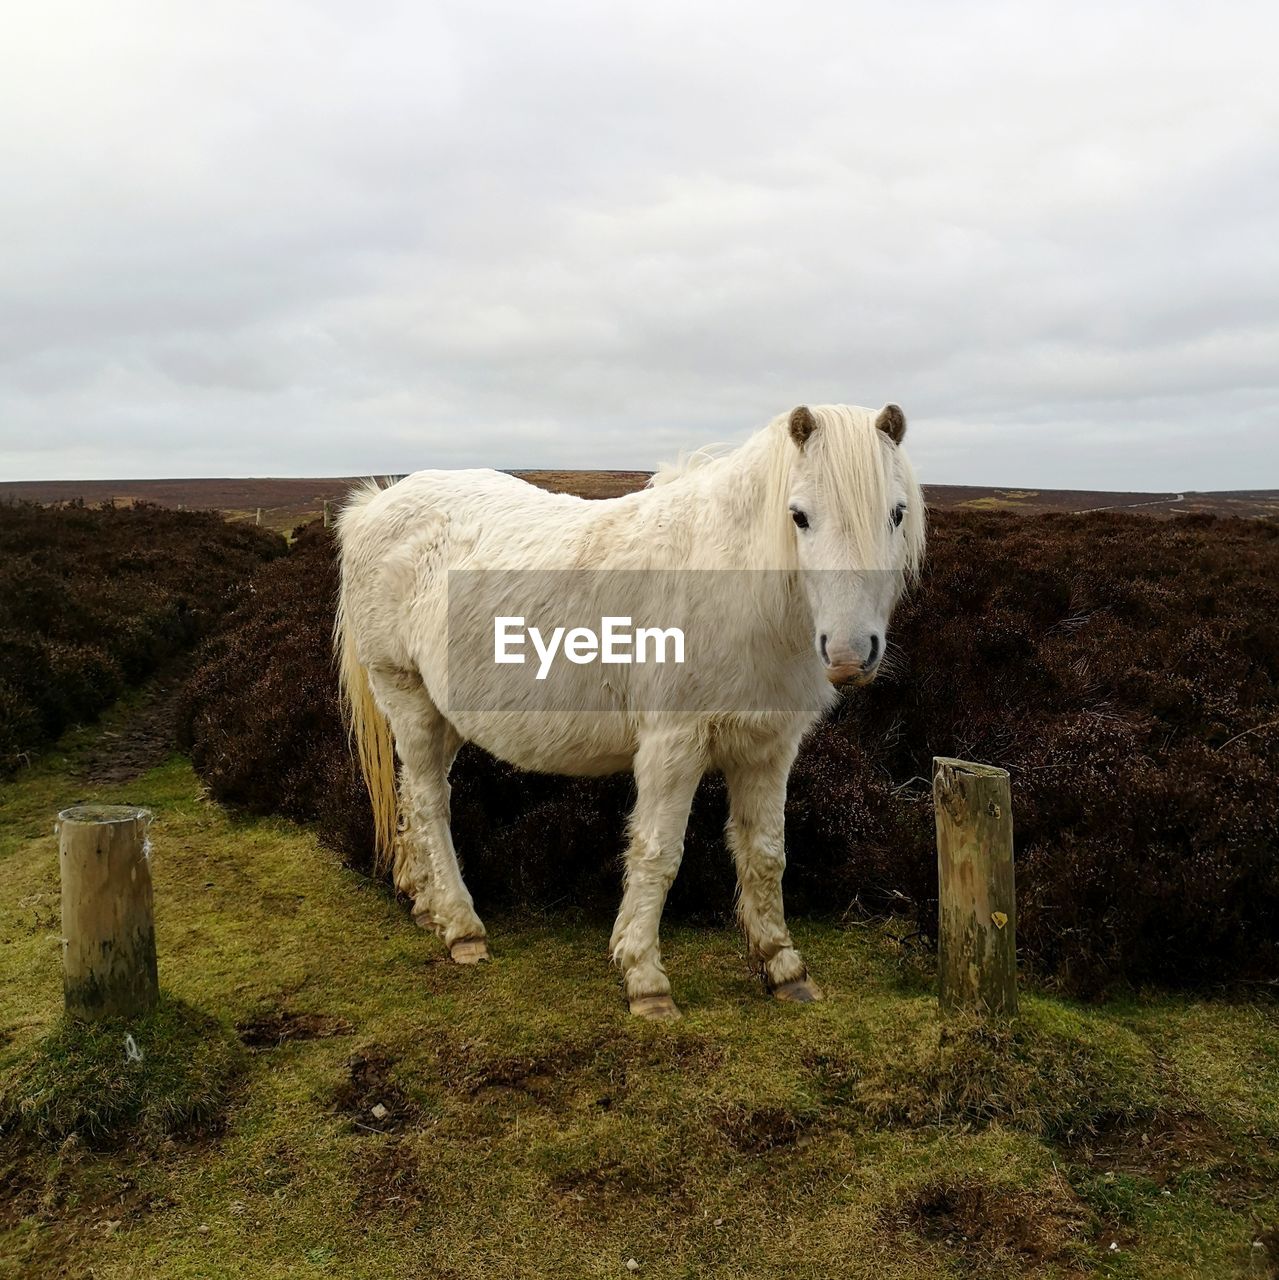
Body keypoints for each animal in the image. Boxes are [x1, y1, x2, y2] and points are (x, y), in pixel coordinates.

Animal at [335, 399, 926, 1018]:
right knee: (431, 806)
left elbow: (766, 854)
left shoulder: (767, 751)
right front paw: (644, 977)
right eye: (800, 516)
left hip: (442, 714)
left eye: (896, 513)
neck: (738, 591)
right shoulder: (673, 747)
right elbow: (658, 854)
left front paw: (783, 965)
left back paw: (423, 903)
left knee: (412, 795)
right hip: (408, 698)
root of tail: (376, 505)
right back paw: (461, 926)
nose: (850, 653)